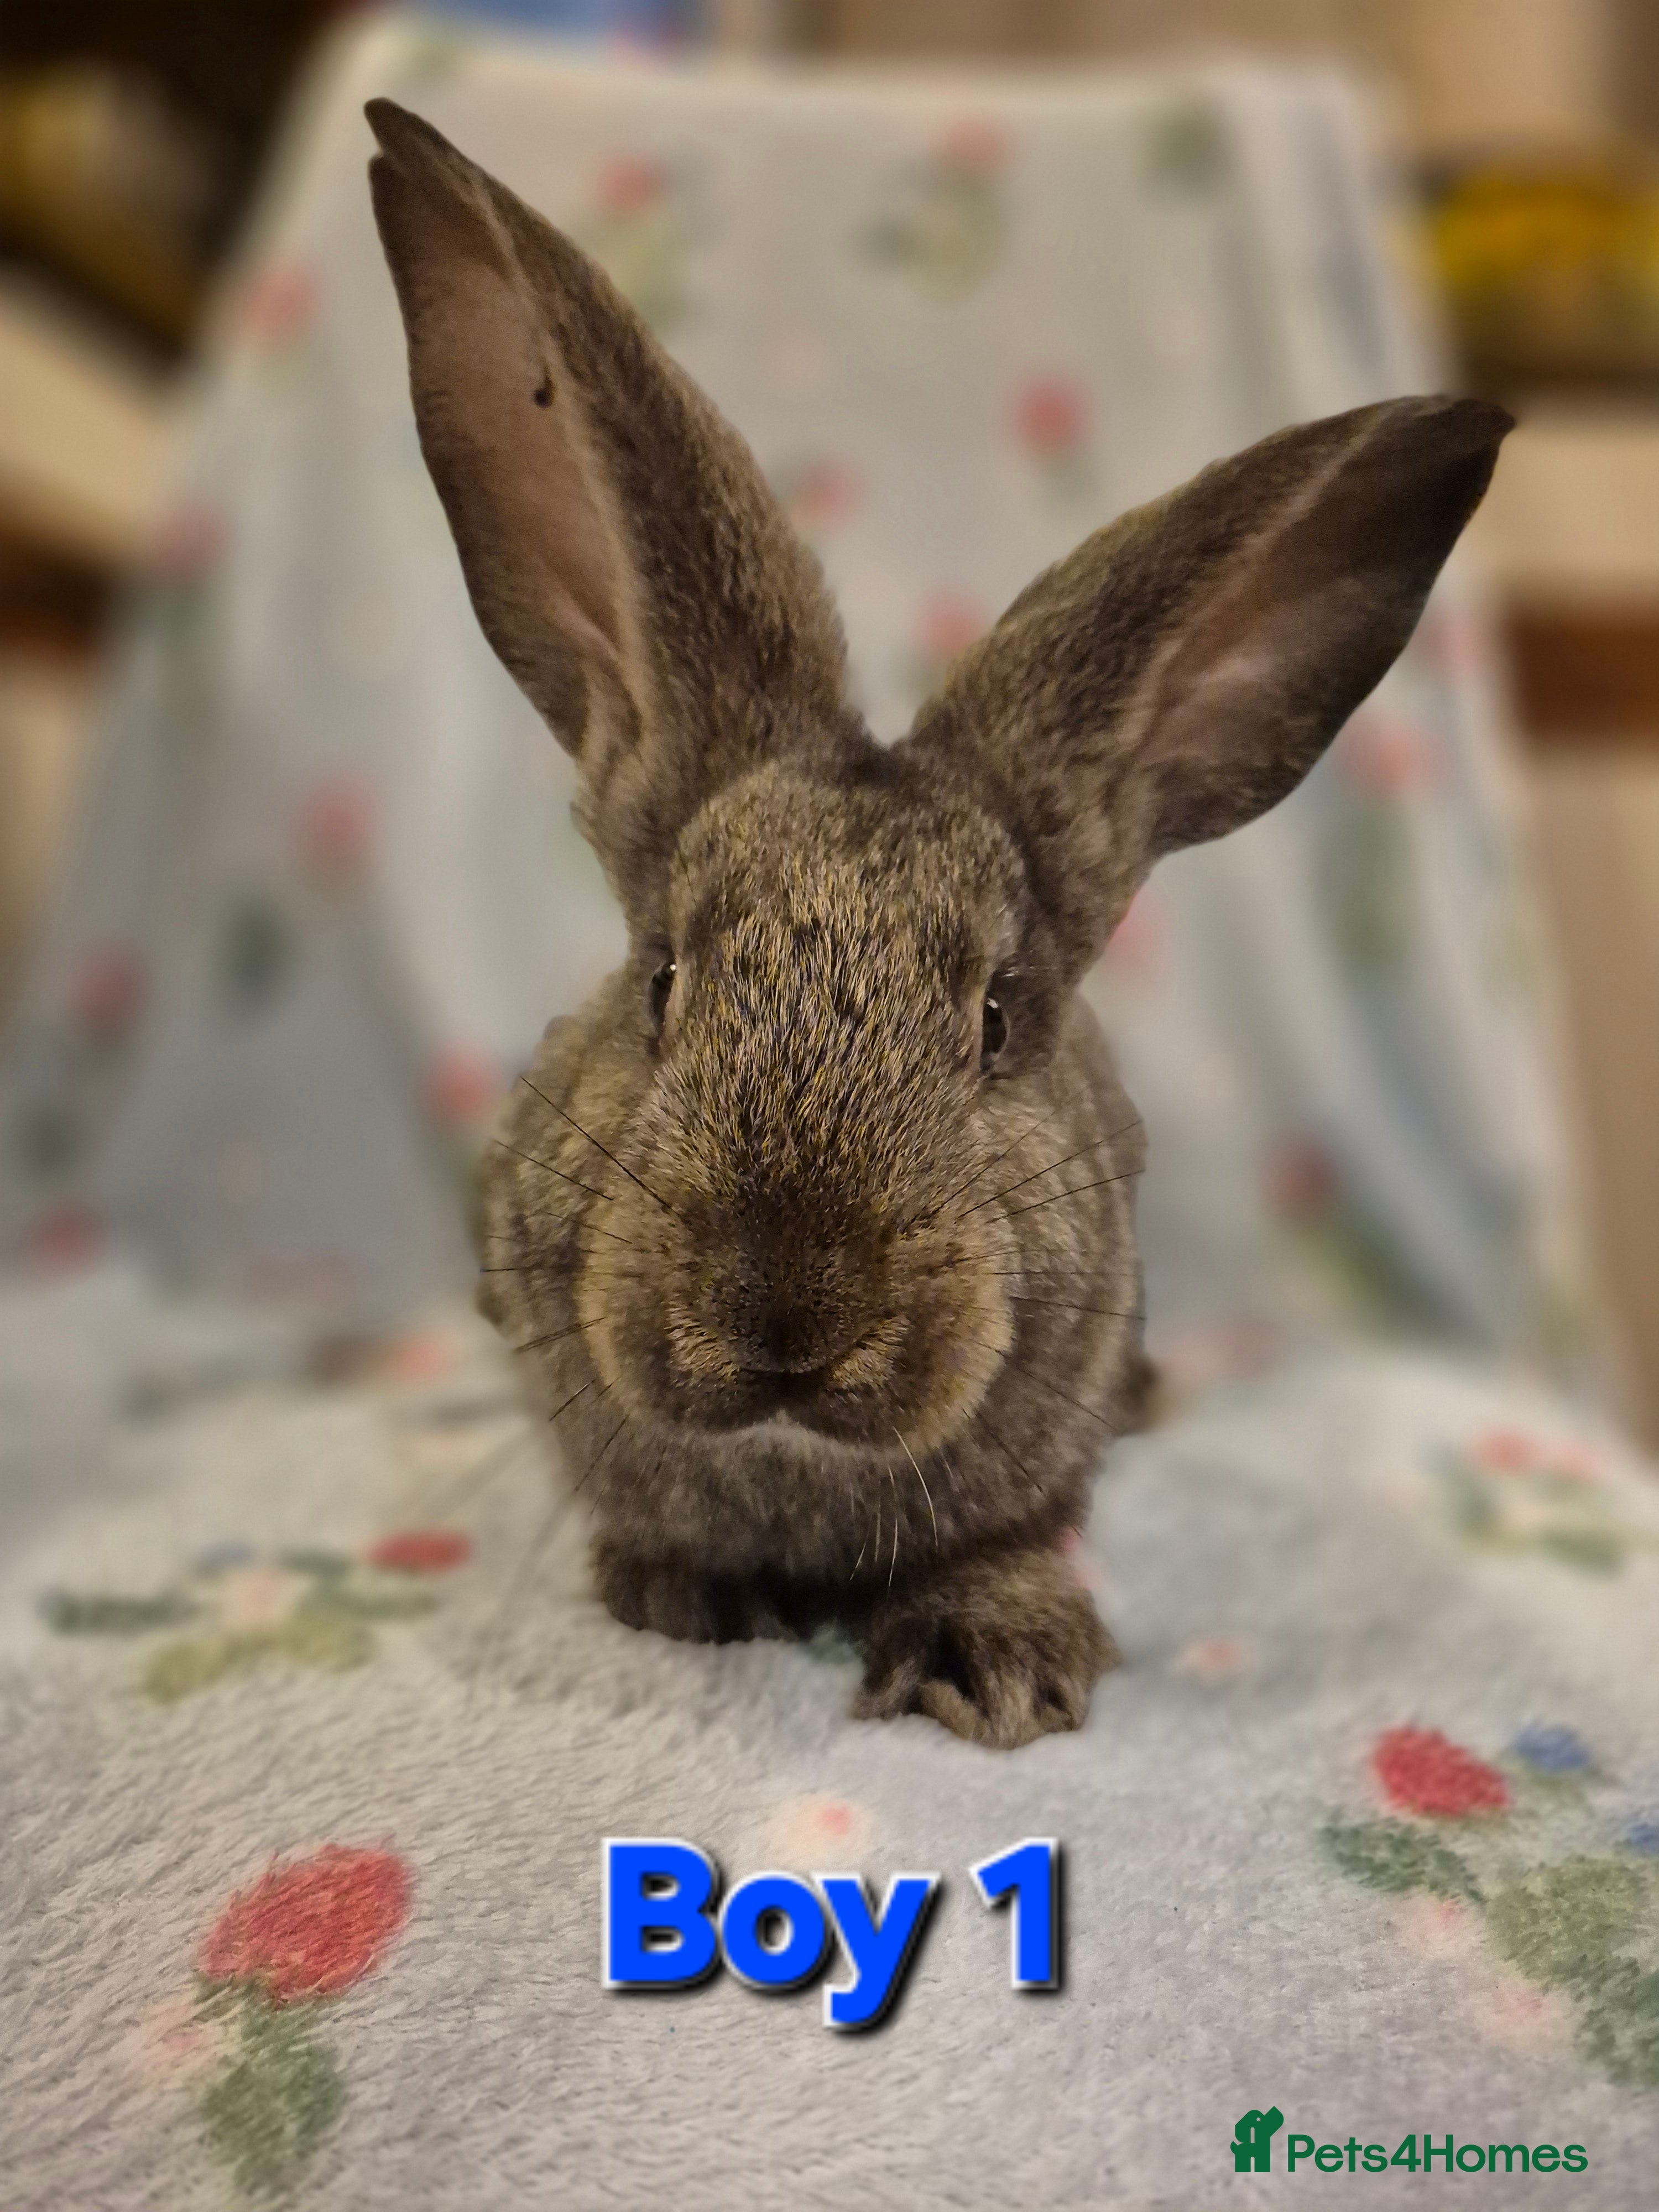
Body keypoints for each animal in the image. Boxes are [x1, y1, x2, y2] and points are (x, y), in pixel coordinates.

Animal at [367, 99, 1510, 1748]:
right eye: (661, 981)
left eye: (994, 1018)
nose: (784, 1313)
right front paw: (682, 1593)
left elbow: (1009, 1543)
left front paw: (998, 1666)